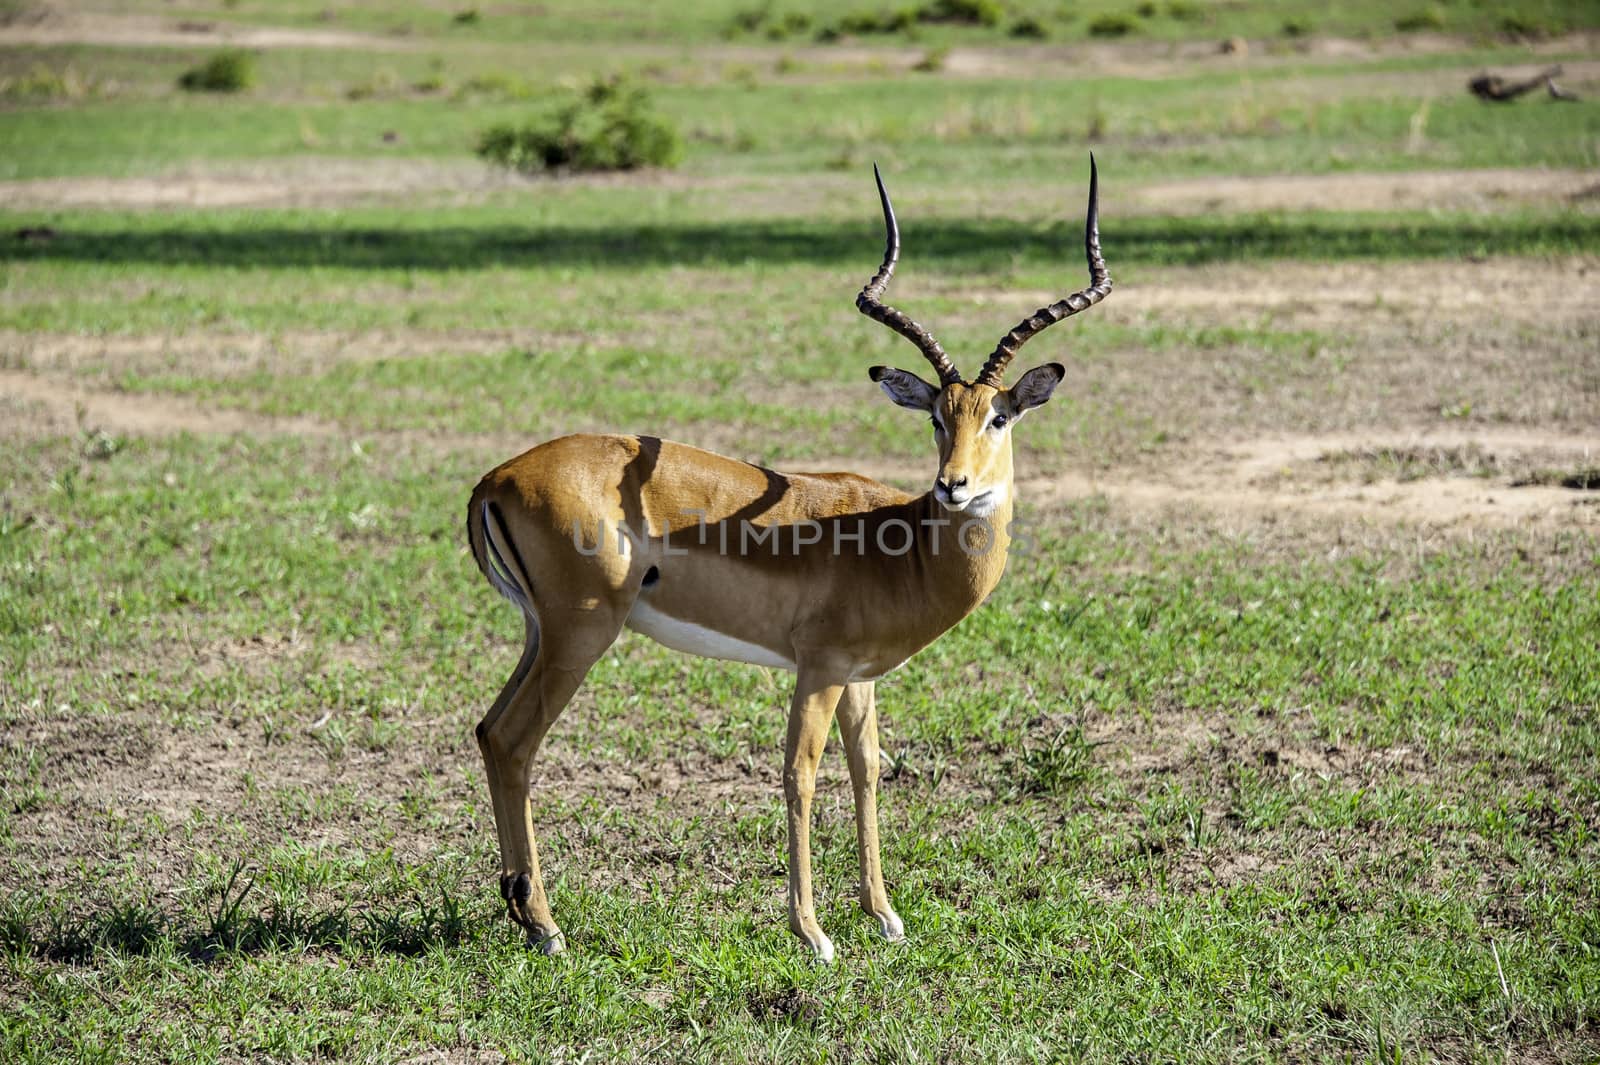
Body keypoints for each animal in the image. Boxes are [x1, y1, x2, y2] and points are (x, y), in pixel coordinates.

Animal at [467, 157, 1113, 959]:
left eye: (998, 415)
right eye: (937, 416)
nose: (954, 485)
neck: (899, 542)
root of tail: (496, 478)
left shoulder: (860, 677)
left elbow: (868, 770)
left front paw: (883, 914)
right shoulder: (819, 667)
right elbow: (799, 774)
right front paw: (813, 932)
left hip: (541, 634)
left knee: (489, 732)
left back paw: (521, 908)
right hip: (581, 635)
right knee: (516, 741)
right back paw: (546, 925)